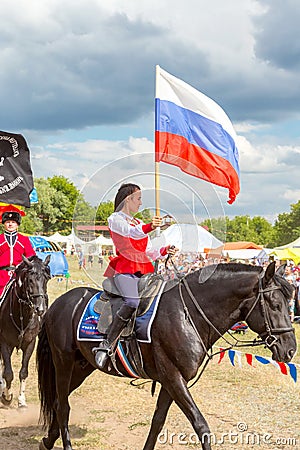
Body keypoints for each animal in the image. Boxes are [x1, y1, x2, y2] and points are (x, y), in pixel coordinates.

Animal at [0, 256, 50, 408]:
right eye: (30, 280)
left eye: (46, 278)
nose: (40, 309)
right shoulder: (5, 343)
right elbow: (8, 373)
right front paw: (6, 396)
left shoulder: (30, 344)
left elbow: (23, 372)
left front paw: (21, 400)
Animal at [36, 262, 296, 448]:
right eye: (275, 304)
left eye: (289, 303)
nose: (291, 349)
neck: (187, 313)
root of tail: (58, 303)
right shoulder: (174, 379)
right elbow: (201, 426)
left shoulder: (170, 381)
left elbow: (157, 423)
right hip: (63, 362)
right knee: (62, 406)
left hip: (81, 367)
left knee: (59, 401)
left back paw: (48, 441)